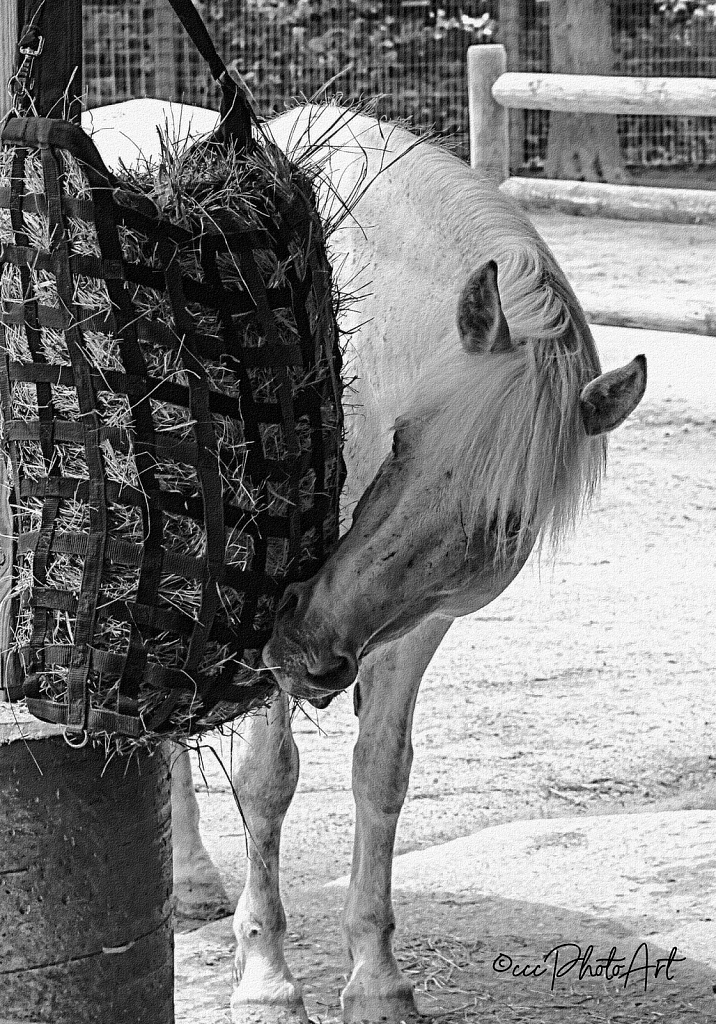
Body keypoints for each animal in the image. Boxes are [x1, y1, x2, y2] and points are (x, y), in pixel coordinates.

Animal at [169, 105, 651, 1024]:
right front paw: (267, 976)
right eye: (402, 439)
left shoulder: (410, 627)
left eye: (506, 524)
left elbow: (381, 776)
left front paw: (378, 980)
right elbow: (266, 781)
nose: (307, 649)